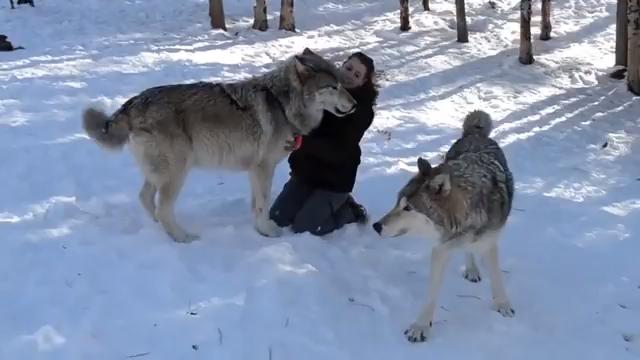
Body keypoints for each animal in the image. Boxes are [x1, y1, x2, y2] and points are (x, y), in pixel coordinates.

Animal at [82, 47, 358, 242]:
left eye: (343, 85)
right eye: (333, 87)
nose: (355, 104)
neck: (282, 103)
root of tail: (135, 101)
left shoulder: (255, 170)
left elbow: (256, 205)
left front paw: (258, 228)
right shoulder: (264, 167)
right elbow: (264, 204)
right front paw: (268, 231)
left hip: (160, 173)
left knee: (145, 199)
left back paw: (159, 229)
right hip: (178, 172)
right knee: (162, 208)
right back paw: (182, 237)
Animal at [370, 109, 516, 344]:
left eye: (408, 208)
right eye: (397, 202)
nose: (376, 226)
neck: (467, 214)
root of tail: (475, 134)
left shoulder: (488, 243)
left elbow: (497, 277)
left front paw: (503, 305)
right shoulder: (441, 249)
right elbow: (431, 294)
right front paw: (420, 327)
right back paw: (471, 269)